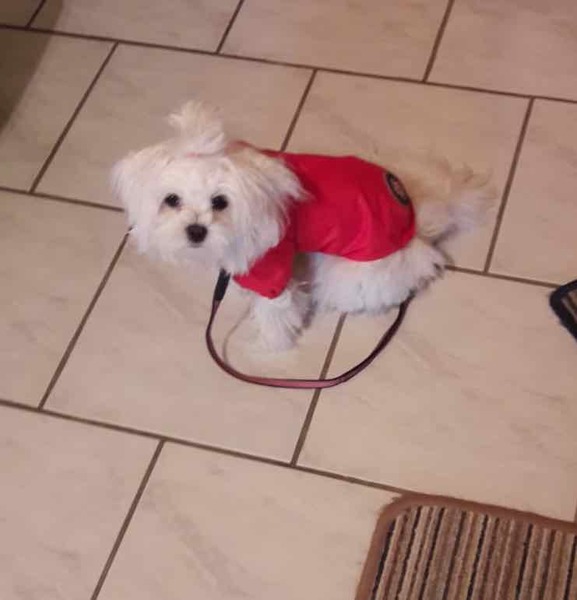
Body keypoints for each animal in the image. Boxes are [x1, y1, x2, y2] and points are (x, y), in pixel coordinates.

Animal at [112, 101, 494, 351]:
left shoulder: (270, 264)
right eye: (171, 200)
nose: (196, 231)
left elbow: (275, 308)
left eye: (220, 202)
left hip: (351, 268)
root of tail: (413, 223)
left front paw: (271, 342)